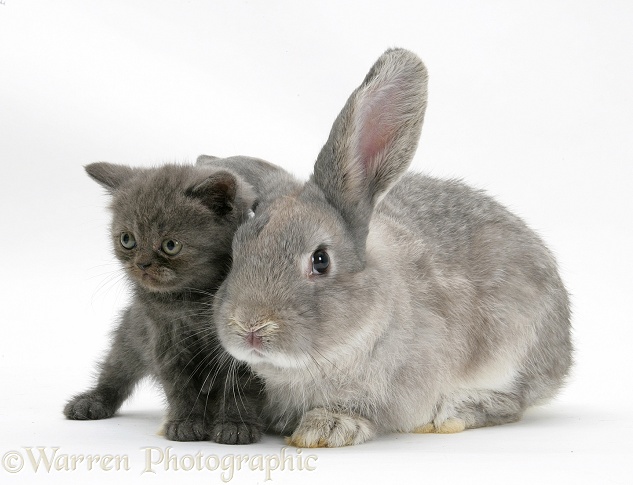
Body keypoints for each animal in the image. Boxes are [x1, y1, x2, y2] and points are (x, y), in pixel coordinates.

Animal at [64, 157, 284, 444]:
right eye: (127, 240)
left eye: (170, 245)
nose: (142, 264)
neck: (189, 300)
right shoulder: (165, 337)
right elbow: (178, 383)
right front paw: (186, 422)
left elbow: (240, 383)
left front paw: (236, 424)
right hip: (131, 332)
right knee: (116, 368)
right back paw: (92, 401)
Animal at [212, 49, 572, 446]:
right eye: (236, 253)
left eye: (320, 260)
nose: (250, 327)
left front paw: (325, 428)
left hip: (513, 349)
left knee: (512, 402)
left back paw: (452, 413)